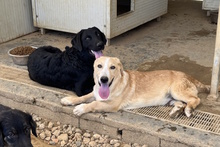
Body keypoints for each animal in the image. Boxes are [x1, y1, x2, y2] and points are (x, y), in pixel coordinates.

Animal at [61, 55, 211, 117]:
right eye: (99, 66)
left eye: (113, 67)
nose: (104, 79)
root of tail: (188, 75)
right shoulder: (95, 93)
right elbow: (84, 96)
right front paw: (70, 100)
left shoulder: (111, 105)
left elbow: (94, 104)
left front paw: (81, 108)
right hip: (171, 98)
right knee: (181, 103)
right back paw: (176, 111)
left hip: (177, 91)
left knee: (195, 99)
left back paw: (189, 110)